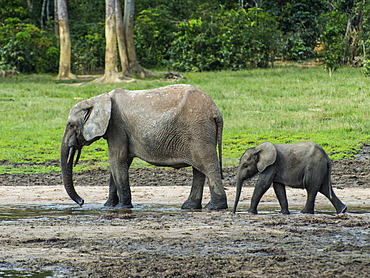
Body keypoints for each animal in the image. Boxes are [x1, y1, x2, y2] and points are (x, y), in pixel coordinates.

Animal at [60, 83, 227, 210]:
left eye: (71, 125)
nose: (82, 202)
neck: (99, 98)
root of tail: (216, 111)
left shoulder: (117, 127)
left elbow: (117, 160)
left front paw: (122, 207)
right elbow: (121, 163)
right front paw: (108, 206)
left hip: (198, 131)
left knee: (207, 165)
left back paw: (214, 207)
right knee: (199, 169)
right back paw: (189, 207)